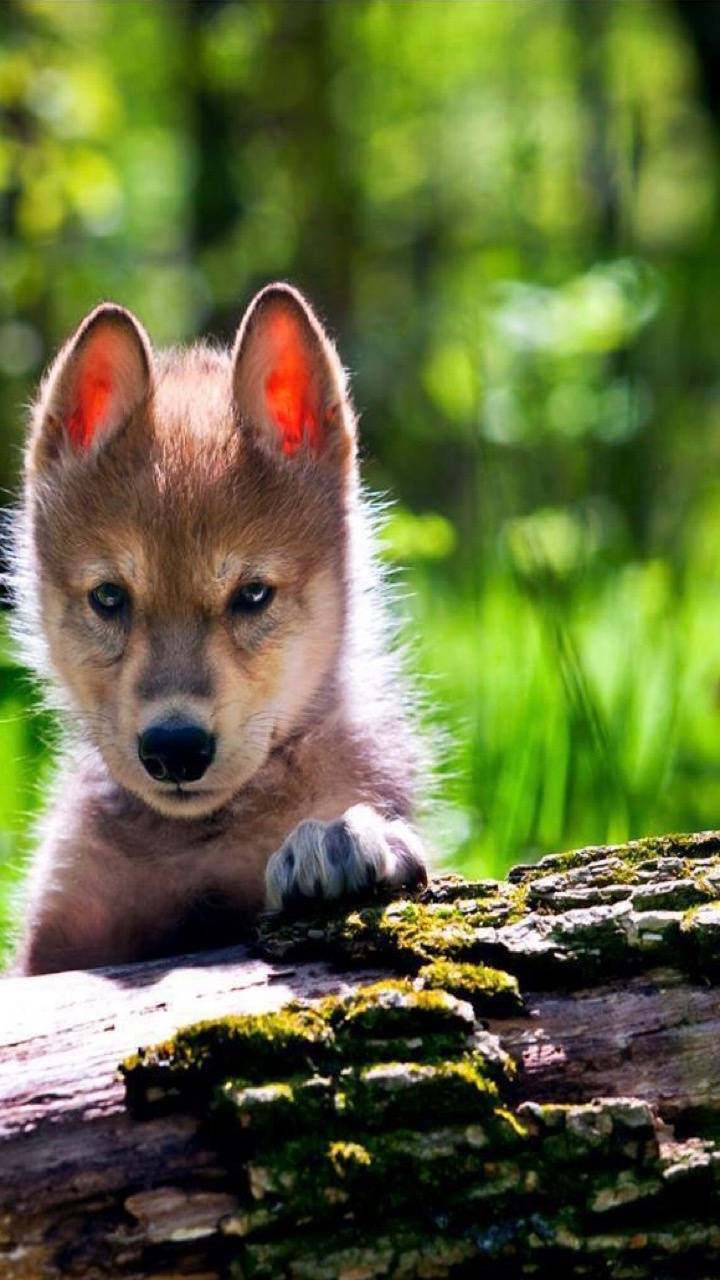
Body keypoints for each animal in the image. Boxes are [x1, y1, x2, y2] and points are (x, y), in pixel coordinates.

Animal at [10, 283, 428, 974]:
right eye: (109, 597)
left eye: (252, 594)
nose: (175, 748)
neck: (199, 844)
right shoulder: (51, 945)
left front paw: (337, 842)